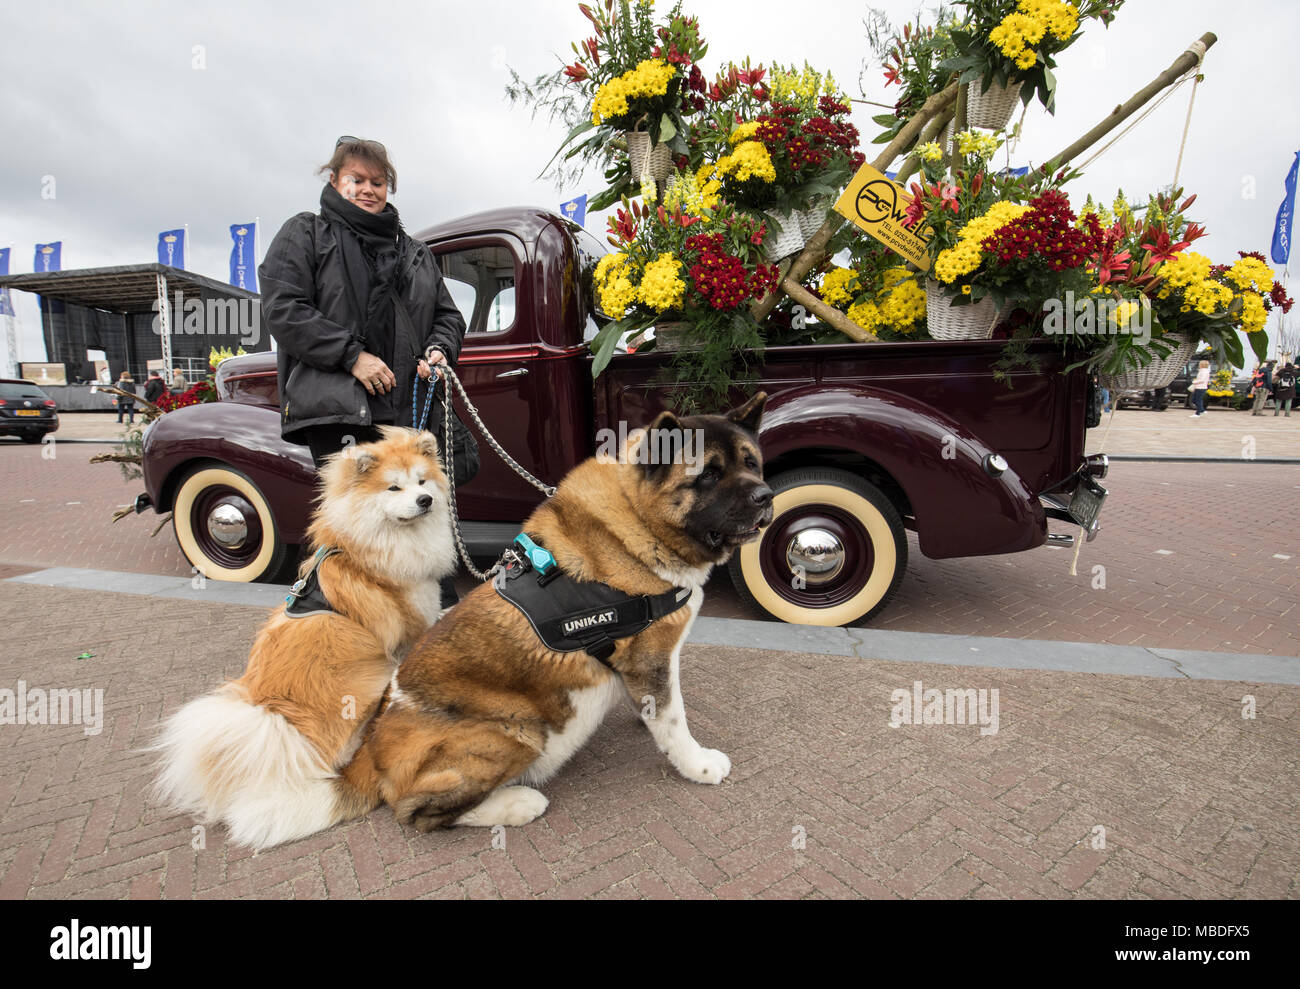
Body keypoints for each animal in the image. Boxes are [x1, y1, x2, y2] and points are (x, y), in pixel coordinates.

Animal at [327, 389, 769, 831]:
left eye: (751, 464)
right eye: (708, 475)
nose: (765, 496)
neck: (637, 521)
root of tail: (374, 750)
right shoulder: (651, 657)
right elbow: (674, 721)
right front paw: (699, 765)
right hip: (516, 731)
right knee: (418, 812)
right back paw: (518, 803)